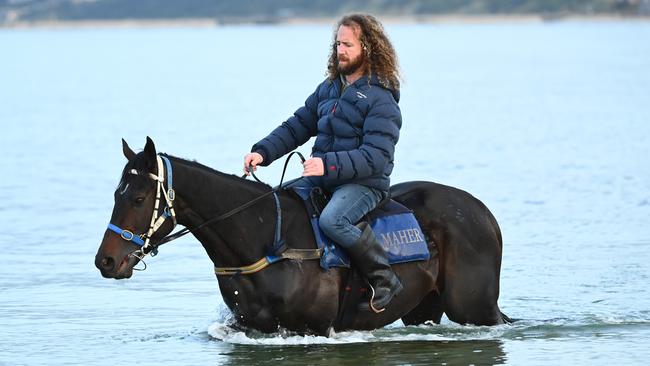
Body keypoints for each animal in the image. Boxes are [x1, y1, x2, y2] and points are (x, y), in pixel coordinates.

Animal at [96, 138, 508, 338]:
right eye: (115, 194)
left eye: (137, 198)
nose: (106, 261)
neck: (265, 239)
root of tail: (482, 213)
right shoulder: (250, 326)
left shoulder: (315, 328)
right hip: (424, 307)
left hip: (474, 307)